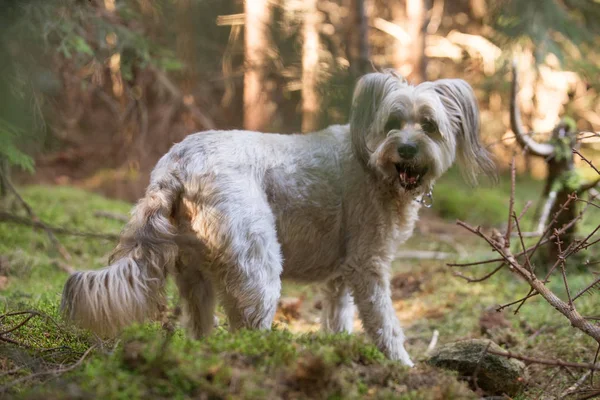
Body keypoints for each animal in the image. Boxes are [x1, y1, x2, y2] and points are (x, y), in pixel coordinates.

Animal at [61, 71, 494, 366]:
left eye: (429, 125)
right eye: (392, 123)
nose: (405, 149)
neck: (374, 163)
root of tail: (176, 166)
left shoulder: (340, 275)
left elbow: (337, 318)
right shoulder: (367, 266)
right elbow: (385, 325)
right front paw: (403, 367)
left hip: (196, 277)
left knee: (202, 329)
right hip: (259, 269)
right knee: (250, 331)